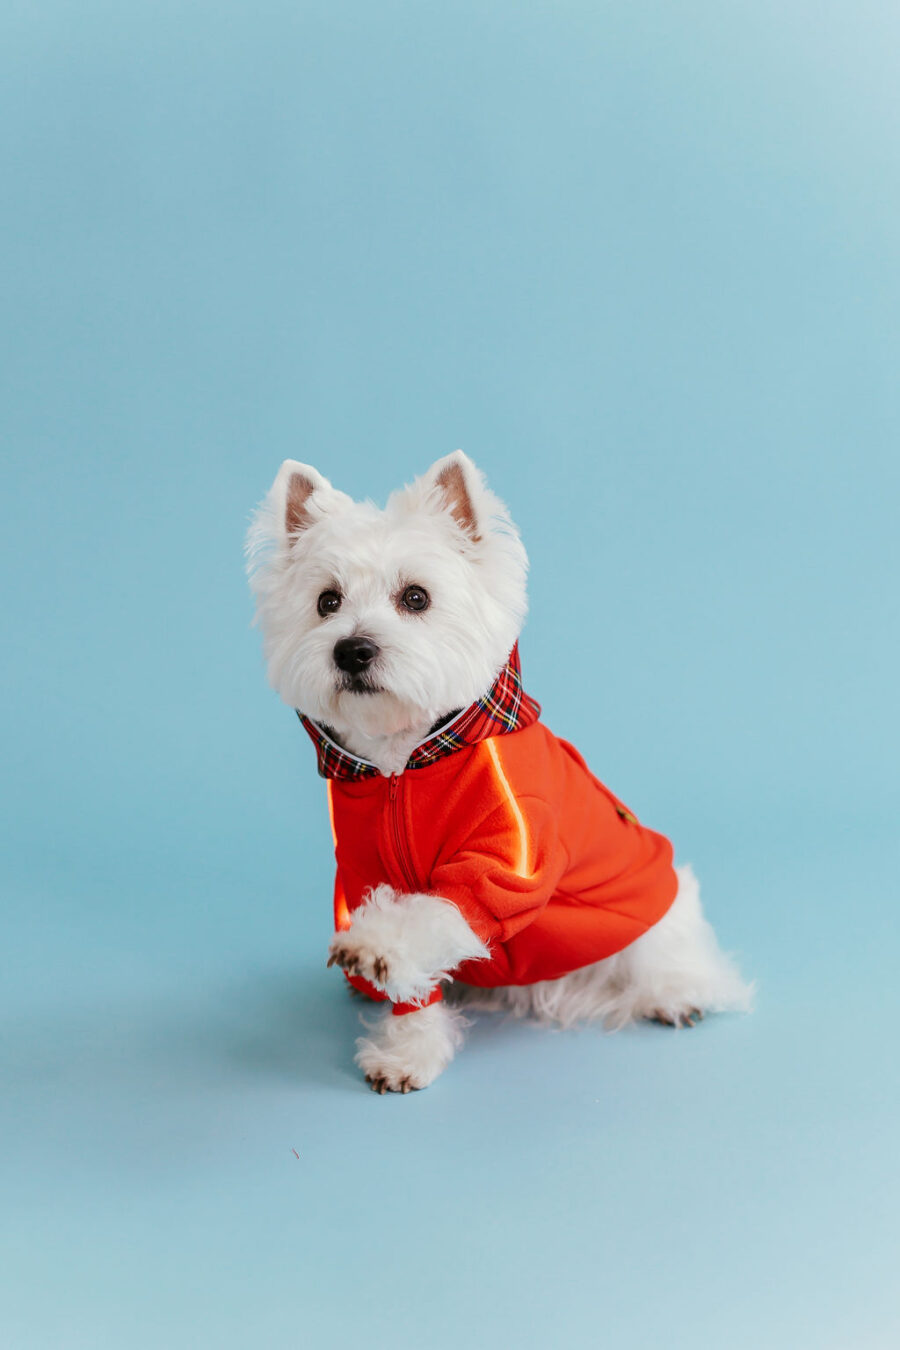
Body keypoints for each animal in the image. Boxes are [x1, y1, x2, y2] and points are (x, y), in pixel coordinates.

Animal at [246, 448, 755, 1090]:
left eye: (416, 597)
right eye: (326, 602)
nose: (352, 650)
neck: (401, 769)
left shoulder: (503, 861)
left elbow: (439, 911)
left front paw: (380, 950)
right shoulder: (361, 868)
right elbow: (413, 978)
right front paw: (406, 1048)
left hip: (654, 898)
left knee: (675, 952)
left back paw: (677, 993)